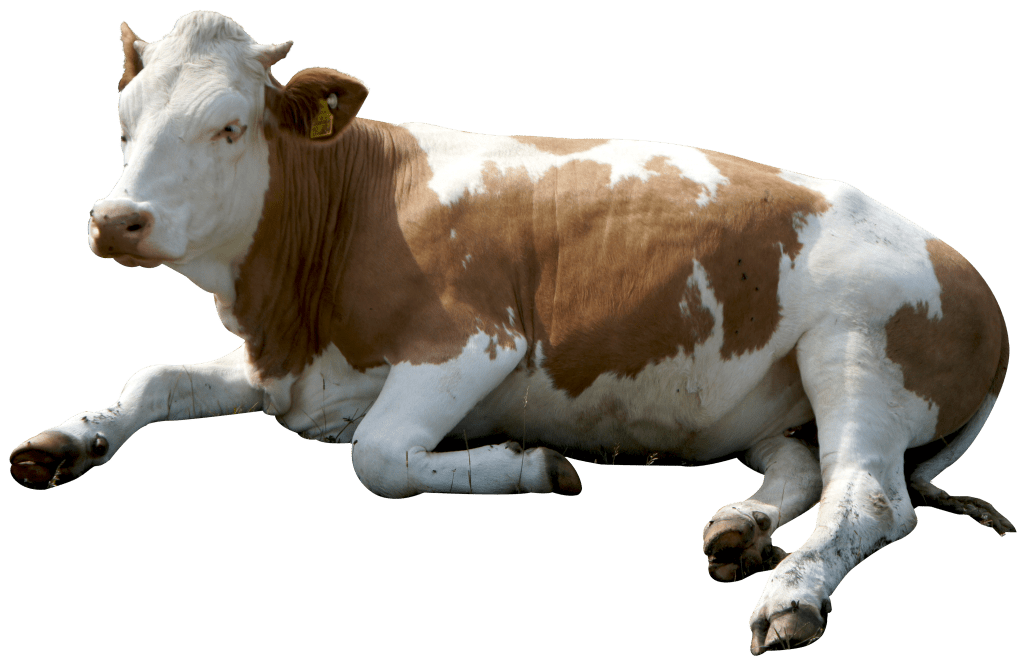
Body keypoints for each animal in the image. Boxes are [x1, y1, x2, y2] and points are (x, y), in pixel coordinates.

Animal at [8, 11, 1014, 655]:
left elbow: (378, 456)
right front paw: (65, 441)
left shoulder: (476, 341)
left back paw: (795, 591)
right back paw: (739, 529)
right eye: (124, 123)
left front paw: (532, 463)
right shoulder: (289, 367)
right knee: (803, 467)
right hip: (775, 399)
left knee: (870, 497)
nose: (116, 220)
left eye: (227, 127)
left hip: (858, 347)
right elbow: (151, 380)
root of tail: (972, 277)